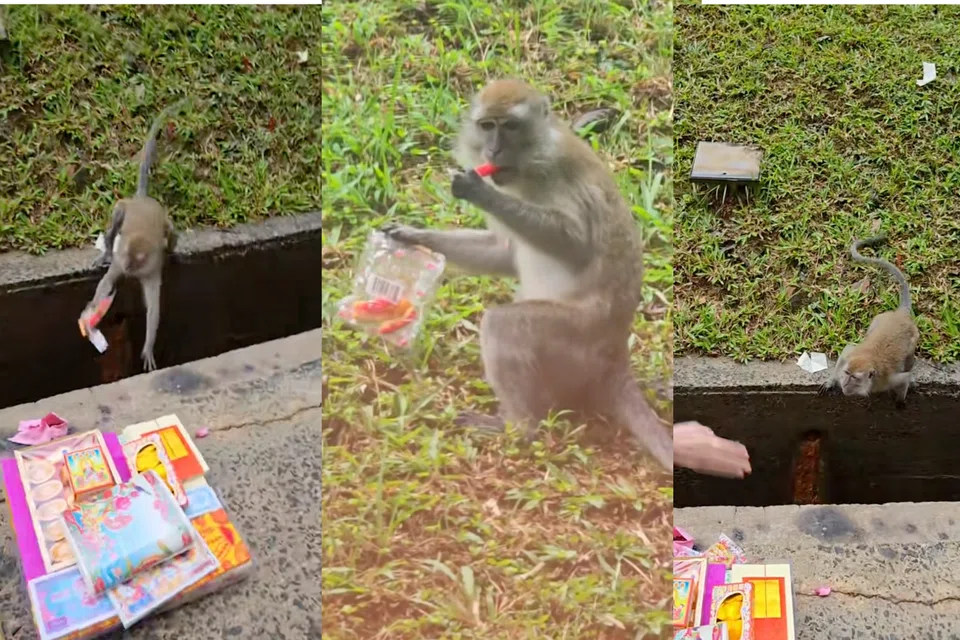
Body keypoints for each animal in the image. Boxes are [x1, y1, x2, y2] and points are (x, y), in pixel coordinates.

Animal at [82, 99, 187, 372]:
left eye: (136, 263)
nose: (129, 271)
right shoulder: (122, 261)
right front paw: (93, 308)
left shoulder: (150, 268)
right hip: (125, 207)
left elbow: (154, 309)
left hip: (164, 222)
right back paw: (107, 249)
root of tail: (143, 198)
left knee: (171, 231)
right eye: (129, 262)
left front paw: (148, 347)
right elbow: (107, 282)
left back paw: (173, 248)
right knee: (118, 214)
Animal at [381, 78, 673, 471]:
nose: (493, 148)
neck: (529, 163)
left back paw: (519, 427)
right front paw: (415, 236)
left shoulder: (557, 175)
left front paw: (478, 190)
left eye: (510, 126)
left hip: (576, 336)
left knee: (503, 326)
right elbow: (504, 252)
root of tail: (615, 353)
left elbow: (576, 245)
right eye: (487, 125)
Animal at [818, 234, 919, 407]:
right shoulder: (851, 357)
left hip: (914, 335)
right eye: (846, 373)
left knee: (909, 357)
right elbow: (846, 350)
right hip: (877, 319)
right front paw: (831, 381)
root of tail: (900, 314)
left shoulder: (886, 380)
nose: (844, 384)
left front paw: (900, 401)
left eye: (854, 378)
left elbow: (904, 379)